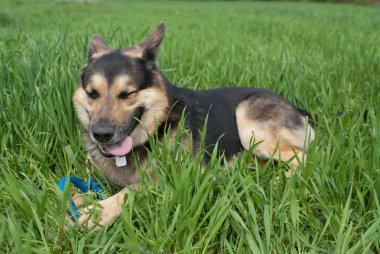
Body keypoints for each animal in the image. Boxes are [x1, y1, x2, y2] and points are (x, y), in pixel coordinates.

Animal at [71, 22, 314, 229]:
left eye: (127, 94)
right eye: (92, 93)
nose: (101, 134)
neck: (156, 129)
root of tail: (295, 107)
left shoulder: (175, 180)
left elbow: (131, 190)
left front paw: (99, 212)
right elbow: (75, 189)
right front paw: (75, 202)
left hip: (250, 126)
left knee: (301, 157)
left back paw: (276, 181)